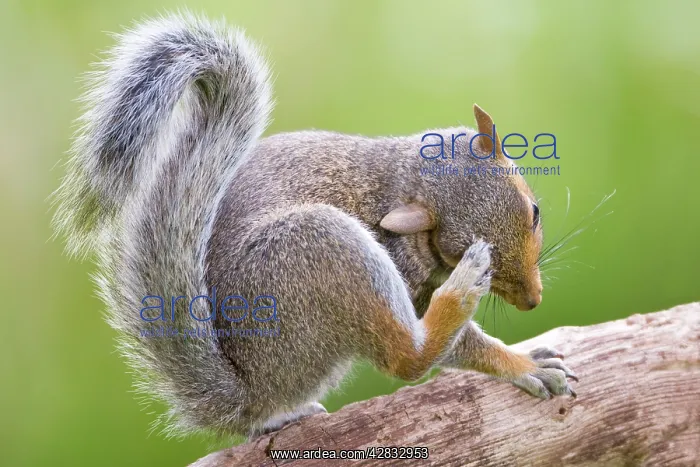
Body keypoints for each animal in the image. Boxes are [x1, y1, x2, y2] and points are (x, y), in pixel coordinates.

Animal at [53, 13, 577, 438]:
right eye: (457, 245)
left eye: (534, 212)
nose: (533, 301)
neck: (402, 182)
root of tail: (253, 388)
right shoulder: (408, 277)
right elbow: (453, 348)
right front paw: (523, 364)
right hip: (321, 249)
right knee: (407, 358)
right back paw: (461, 295)